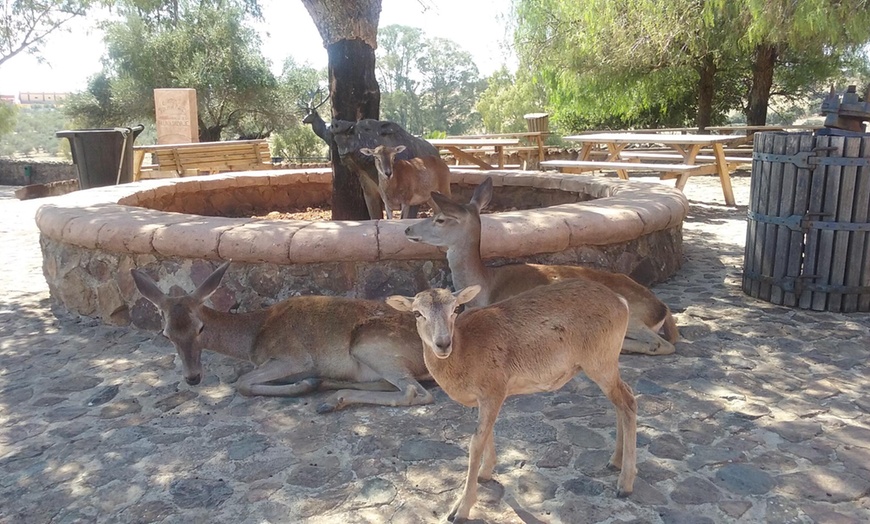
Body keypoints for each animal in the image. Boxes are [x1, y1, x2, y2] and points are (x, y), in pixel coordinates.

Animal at [131, 262, 434, 414]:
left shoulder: (294, 356)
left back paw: (326, 396)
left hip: (370, 345)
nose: (193, 377)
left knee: (415, 392)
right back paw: (328, 389)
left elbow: (242, 383)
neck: (252, 337)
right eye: (166, 334)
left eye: (200, 328)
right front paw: (309, 383)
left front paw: (302, 384)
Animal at [390, 278, 640, 520]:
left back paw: (625, 484)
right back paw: (614, 461)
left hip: (600, 362)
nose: (442, 343)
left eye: (456, 308)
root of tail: (622, 302)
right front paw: (485, 474)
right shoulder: (484, 398)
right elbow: (485, 435)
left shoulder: (494, 390)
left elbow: (475, 443)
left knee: (628, 402)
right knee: (621, 399)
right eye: (417, 313)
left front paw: (459, 510)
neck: (464, 355)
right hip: (607, 362)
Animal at [404, 177, 680, 356]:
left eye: (440, 219)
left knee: (662, 344)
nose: (407, 229)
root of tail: (660, 309)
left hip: (630, 314)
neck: (485, 286)